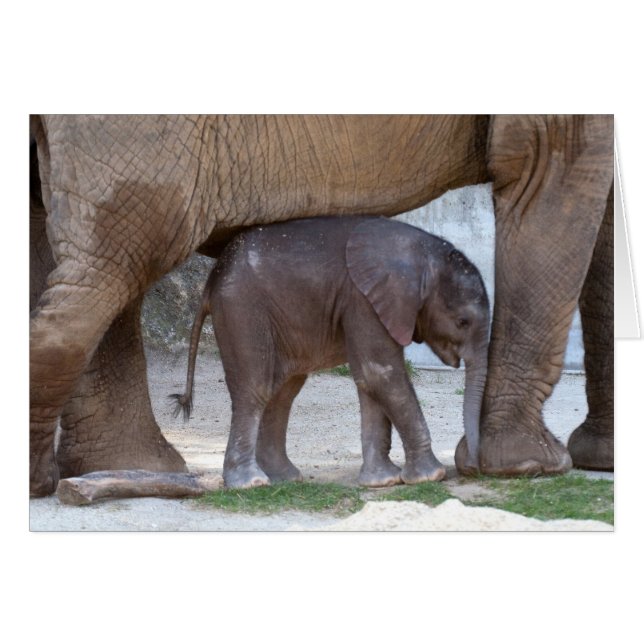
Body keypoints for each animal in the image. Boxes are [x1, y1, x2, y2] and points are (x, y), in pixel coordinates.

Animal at [170, 216, 490, 488]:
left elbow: (369, 381)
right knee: (256, 388)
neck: (421, 254)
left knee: (283, 392)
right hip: (241, 309)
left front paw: (382, 481)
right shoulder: (363, 300)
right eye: (462, 322)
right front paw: (430, 476)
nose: (470, 464)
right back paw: (251, 483)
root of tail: (212, 279)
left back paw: (285, 478)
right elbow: (380, 374)